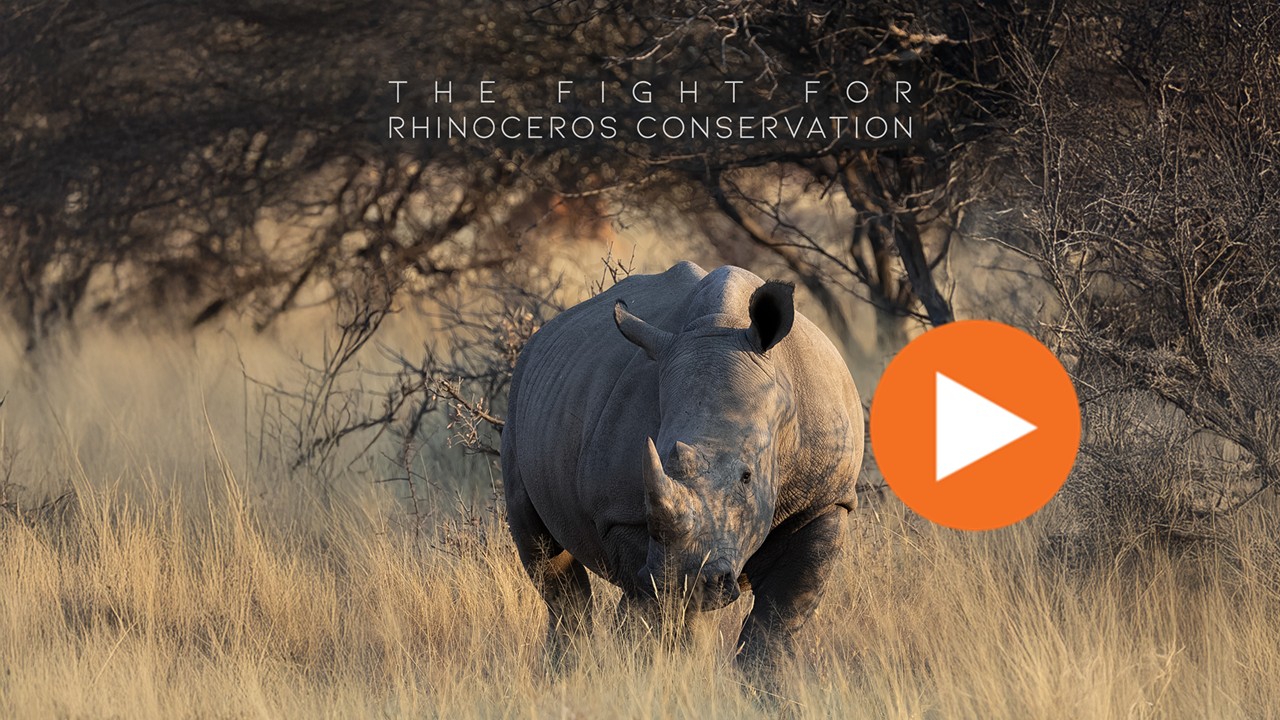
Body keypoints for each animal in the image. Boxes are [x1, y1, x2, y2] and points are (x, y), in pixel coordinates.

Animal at [501, 262, 864, 670]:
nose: (686, 580)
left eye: (747, 477)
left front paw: (761, 682)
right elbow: (666, 611)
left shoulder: (825, 499)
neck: (721, 325)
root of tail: (537, 337)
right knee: (551, 562)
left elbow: (781, 613)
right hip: (519, 405)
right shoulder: (621, 513)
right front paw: (670, 667)